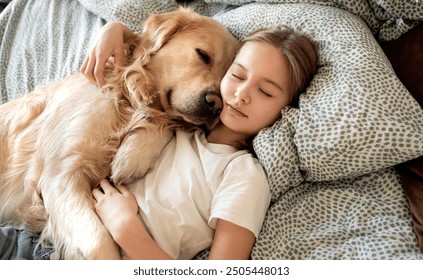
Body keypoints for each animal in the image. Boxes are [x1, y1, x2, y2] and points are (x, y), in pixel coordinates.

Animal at [0, 7, 240, 260]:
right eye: (203, 55)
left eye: (227, 77)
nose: (216, 105)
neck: (125, 97)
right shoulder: (60, 174)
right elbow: (100, 243)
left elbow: (165, 126)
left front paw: (131, 159)